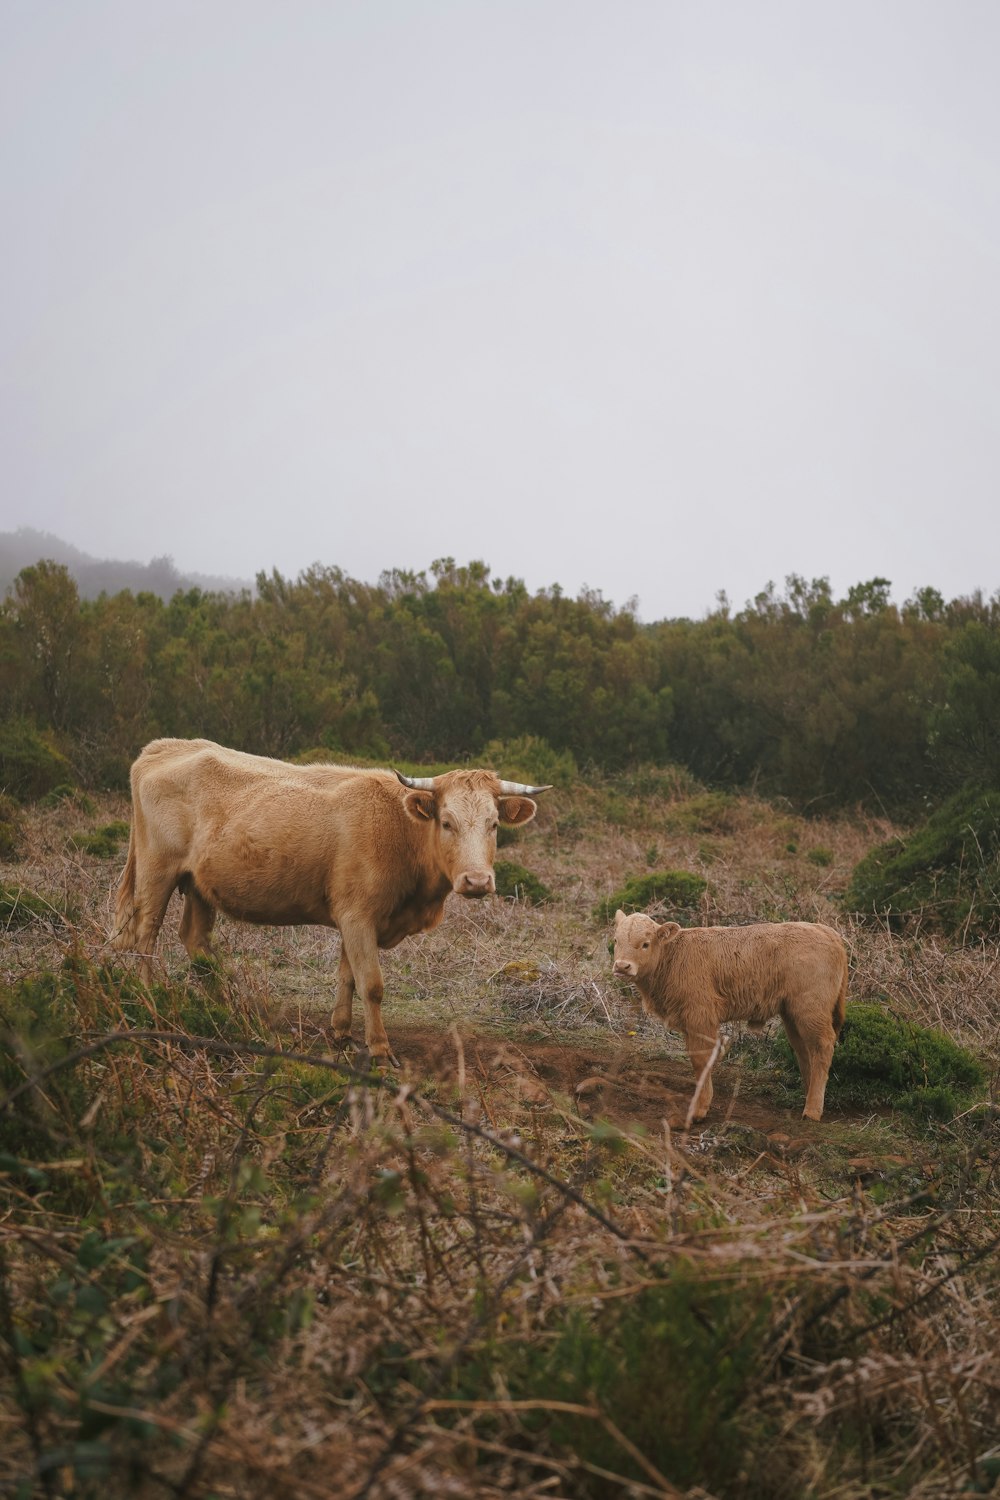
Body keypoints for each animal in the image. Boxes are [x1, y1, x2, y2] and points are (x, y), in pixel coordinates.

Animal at [115, 738, 554, 1056]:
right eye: (447, 822)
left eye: (494, 824)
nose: (477, 881)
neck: (400, 830)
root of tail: (162, 747)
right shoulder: (359, 917)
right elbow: (371, 983)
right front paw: (379, 1049)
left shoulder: (352, 916)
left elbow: (347, 975)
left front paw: (341, 1032)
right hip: (157, 871)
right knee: (145, 934)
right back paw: (150, 998)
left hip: (199, 885)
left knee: (196, 942)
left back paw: (224, 1007)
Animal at [614, 906, 851, 1122]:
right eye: (616, 940)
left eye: (645, 944)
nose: (622, 966)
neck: (672, 956)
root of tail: (827, 932)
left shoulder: (700, 1017)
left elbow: (701, 1060)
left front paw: (698, 1110)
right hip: (792, 1014)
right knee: (804, 1049)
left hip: (810, 1010)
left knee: (822, 1045)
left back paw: (812, 1110)